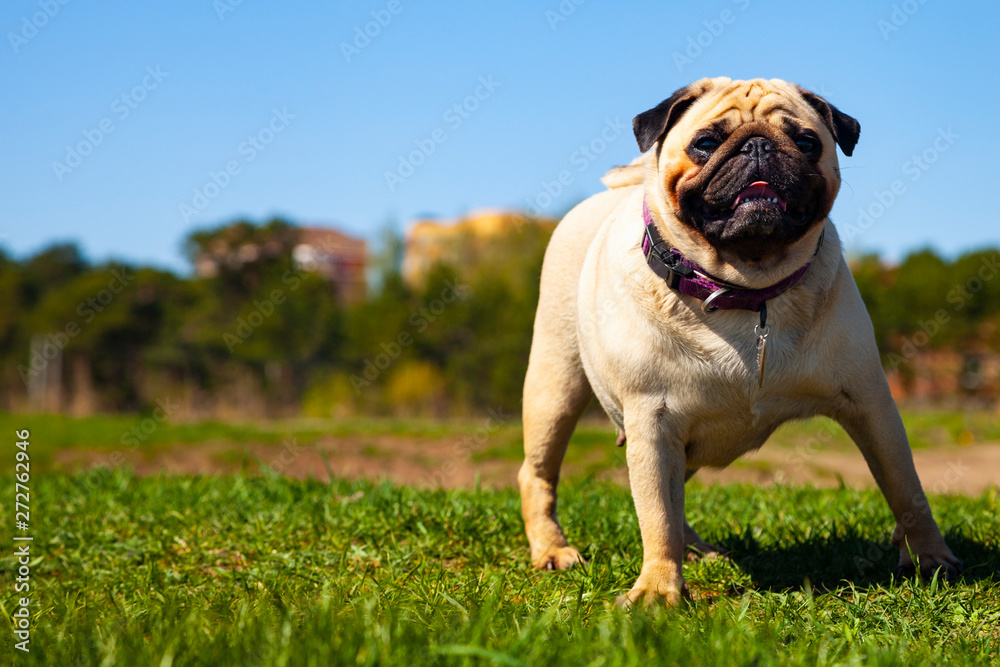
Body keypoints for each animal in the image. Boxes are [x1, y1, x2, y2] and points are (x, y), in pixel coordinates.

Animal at [520, 77, 956, 604]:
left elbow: (907, 488)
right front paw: (658, 589)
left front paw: (930, 555)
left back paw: (696, 550)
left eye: (806, 142)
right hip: (555, 388)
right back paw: (552, 550)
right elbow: (656, 517)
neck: (744, 292)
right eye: (706, 144)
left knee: (677, 499)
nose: (758, 146)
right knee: (539, 474)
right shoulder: (652, 423)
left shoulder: (872, 406)